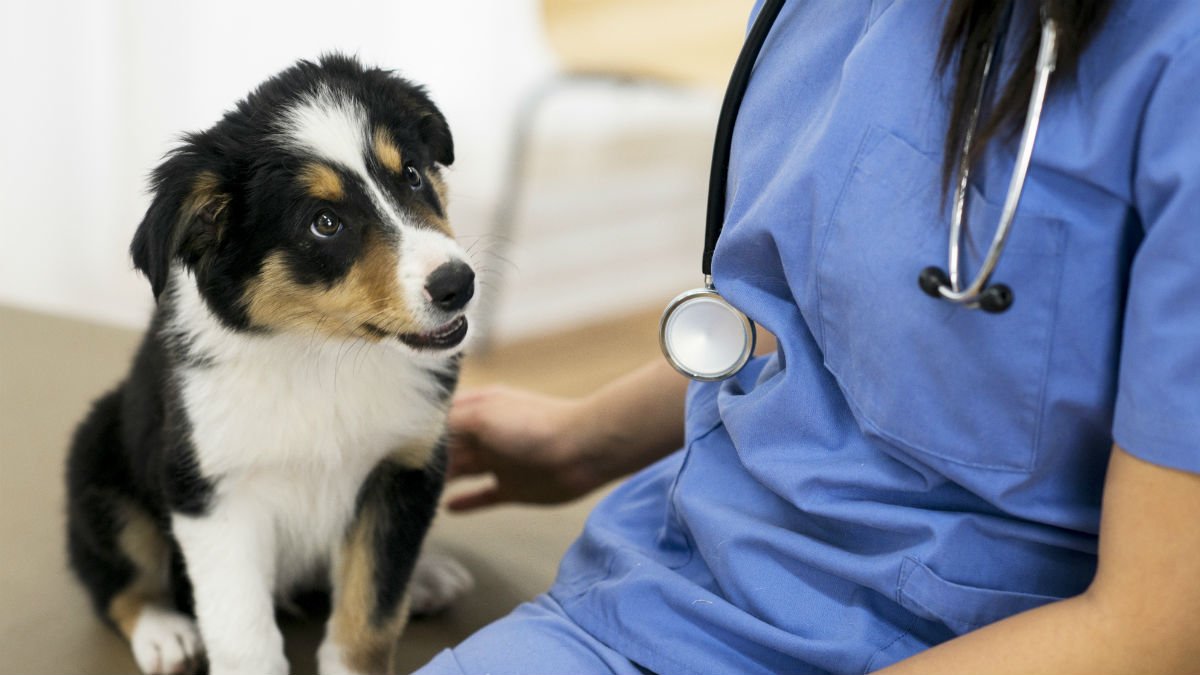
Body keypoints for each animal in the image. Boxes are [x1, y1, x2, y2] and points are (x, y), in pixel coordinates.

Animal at [68, 56, 475, 672]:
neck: (321, 355)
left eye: (410, 174)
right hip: (99, 454)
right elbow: (243, 631)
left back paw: (426, 576)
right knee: (116, 577)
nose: (458, 284)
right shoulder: (213, 493)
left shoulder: (403, 469)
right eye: (324, 223)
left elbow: (371, 613)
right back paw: (165, 632)